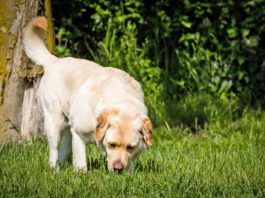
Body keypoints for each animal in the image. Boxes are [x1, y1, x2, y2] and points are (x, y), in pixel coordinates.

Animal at [23, 16, 152, 172]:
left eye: (130, 147)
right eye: (112, 144)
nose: (118, 168)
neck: (121, 101)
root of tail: (55, 61)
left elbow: (130, 163)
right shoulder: (78, 134)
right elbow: (81, 164)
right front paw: (80, 174)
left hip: (68, 127)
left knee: (63, 151)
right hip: (54, 123)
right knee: (54, 151)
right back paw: (55, 170)